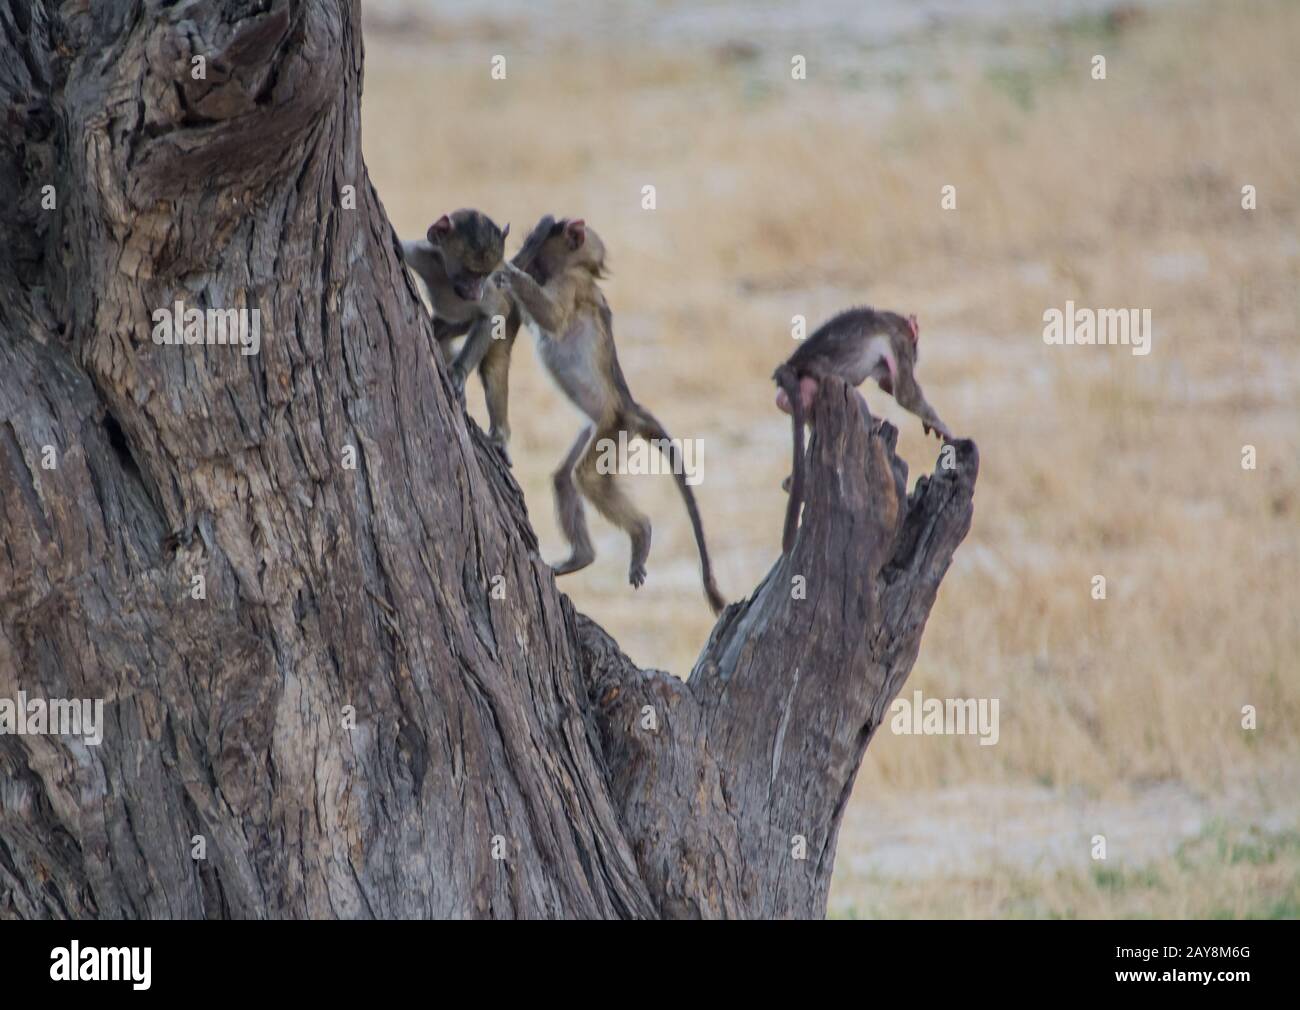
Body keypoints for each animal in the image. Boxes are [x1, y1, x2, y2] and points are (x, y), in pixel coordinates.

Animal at [401, 209, 522, 456]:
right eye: (470, 273)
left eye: (484, 275)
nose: (476, 292)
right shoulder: (421, 255)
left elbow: (495, 313)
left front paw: (458, 371)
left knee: (493, 366)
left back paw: (500, 437)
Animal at [497, 215, 726, 615]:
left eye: (538, 252)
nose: (525, 260)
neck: (577, 269)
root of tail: (629, 406)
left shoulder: (572, 286)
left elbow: (552, 318)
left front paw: (508, 272)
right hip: (597, 429)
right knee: (564, 478)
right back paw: (581, 557)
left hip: (612, 429)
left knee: (586, 477)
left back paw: (641, 533)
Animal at [773, 307, 953, 553]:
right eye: (915, 345)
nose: (917, 357)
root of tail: (790, 368)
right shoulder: (899, 341)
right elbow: (904, 393)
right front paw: (942, 426)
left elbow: (889, 385)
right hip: (816, 384)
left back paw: (792, 482)